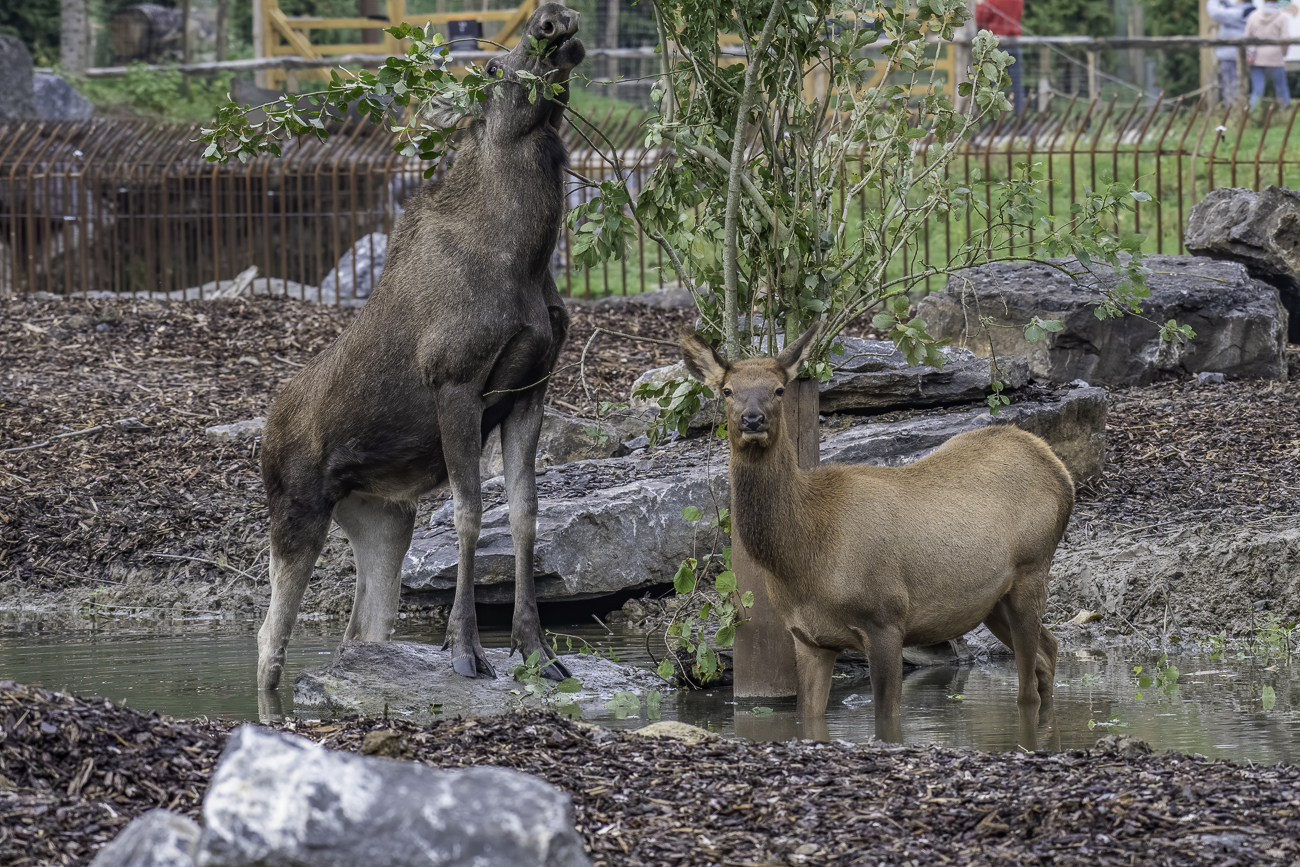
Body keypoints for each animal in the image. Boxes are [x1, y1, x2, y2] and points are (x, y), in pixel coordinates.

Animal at [258, 1, 585, 691]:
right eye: (490, 68)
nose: (551, 20)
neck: (524, 256)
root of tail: (266, 432)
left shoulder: (530, 388)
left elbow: (525, 513)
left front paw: (535, 649)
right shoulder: (455, 382)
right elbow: (469, 512)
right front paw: (465, 648)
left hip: (382, 517)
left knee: (362, 626)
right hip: (295, 508)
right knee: (268, 638)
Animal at [676, 323, 1071, 738]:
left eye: (780, 389)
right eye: (727, 390)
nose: (752, 419)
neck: (805, 556)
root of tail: (1060, 470)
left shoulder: (885, 618)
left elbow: (887, 719)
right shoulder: (808, 638)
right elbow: (807, 718)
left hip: (1032, 567)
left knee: (1027, 687)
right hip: (990, 599)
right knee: (1049, 650)